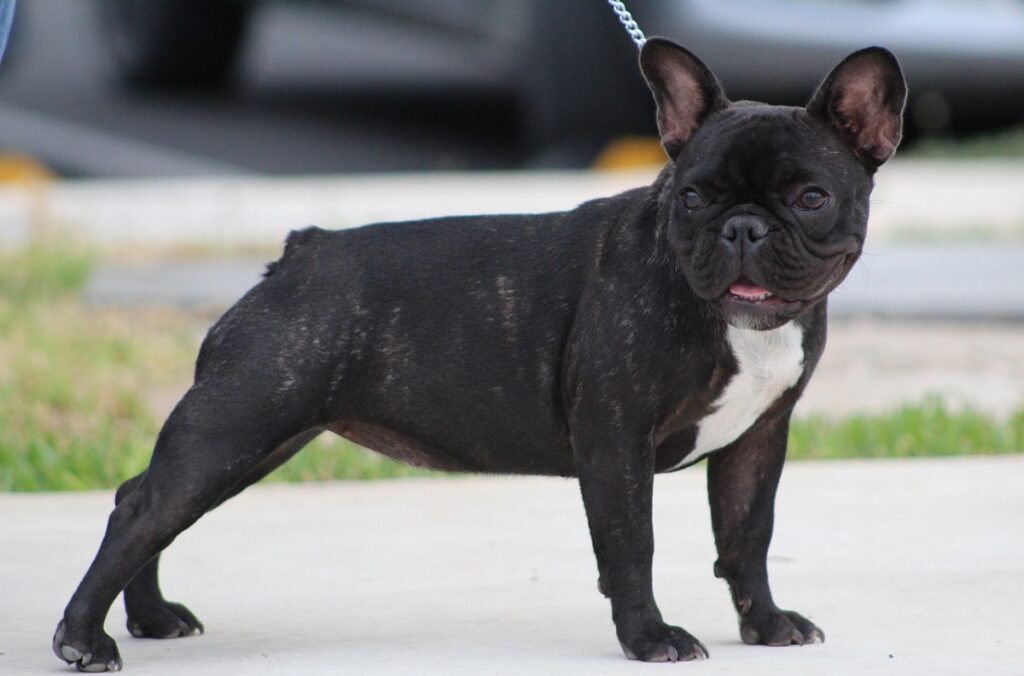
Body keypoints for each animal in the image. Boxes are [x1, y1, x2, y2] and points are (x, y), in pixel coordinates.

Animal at [56, 38, 905, 671]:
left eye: (809, 198)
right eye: (692, 197)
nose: (743, 227)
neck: (736, 326)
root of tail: (300, 254)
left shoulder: (757, 441)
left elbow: (747, 537)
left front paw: (766, 625)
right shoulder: (617, 439)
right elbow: (633, 544)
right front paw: (649, 639)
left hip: (259, 435)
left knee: (148, 503)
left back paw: (152, 618)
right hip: (238, 423)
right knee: (144, 508)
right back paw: (84, 640)